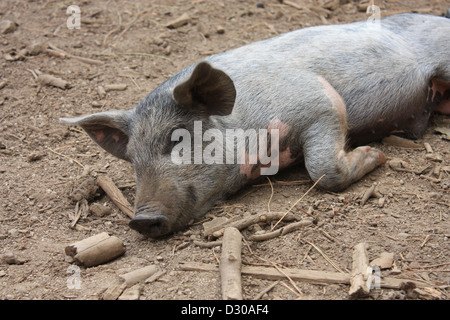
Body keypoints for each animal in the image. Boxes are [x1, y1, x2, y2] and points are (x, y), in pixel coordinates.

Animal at [60, 13, 450, 238]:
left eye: (176, 140)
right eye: (133, 159)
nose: (140, 219)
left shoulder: (321, 103)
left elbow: (323, 170)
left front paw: (374, 154)